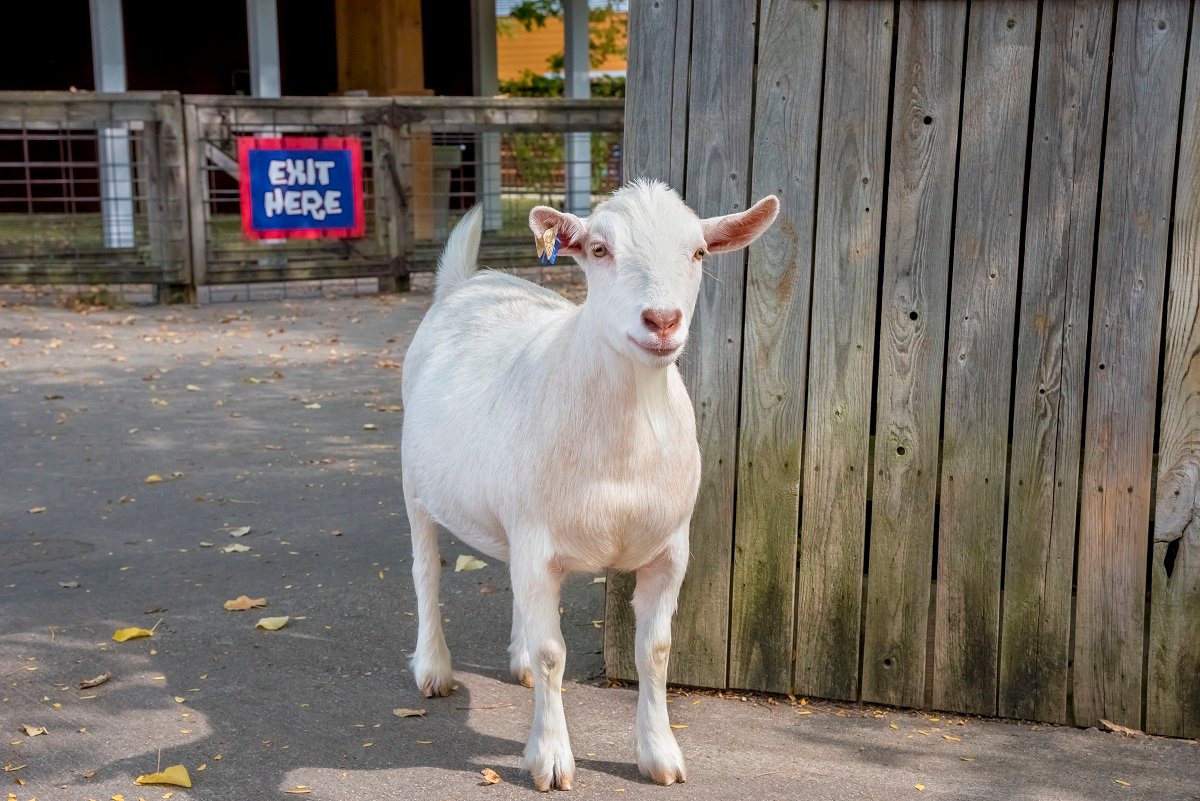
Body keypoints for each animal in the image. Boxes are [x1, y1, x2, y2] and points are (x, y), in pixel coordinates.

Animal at [401, 180, 779, 791]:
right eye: (599, 250)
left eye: (699, 252)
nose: (662, 320)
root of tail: (465, 283)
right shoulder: (538, 541)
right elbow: (553, 652)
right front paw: (551, 759)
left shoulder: (670, 549)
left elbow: (656, 649)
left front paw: (660, 754)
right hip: (415, 485)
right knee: (424, 570)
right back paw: (434, 668)